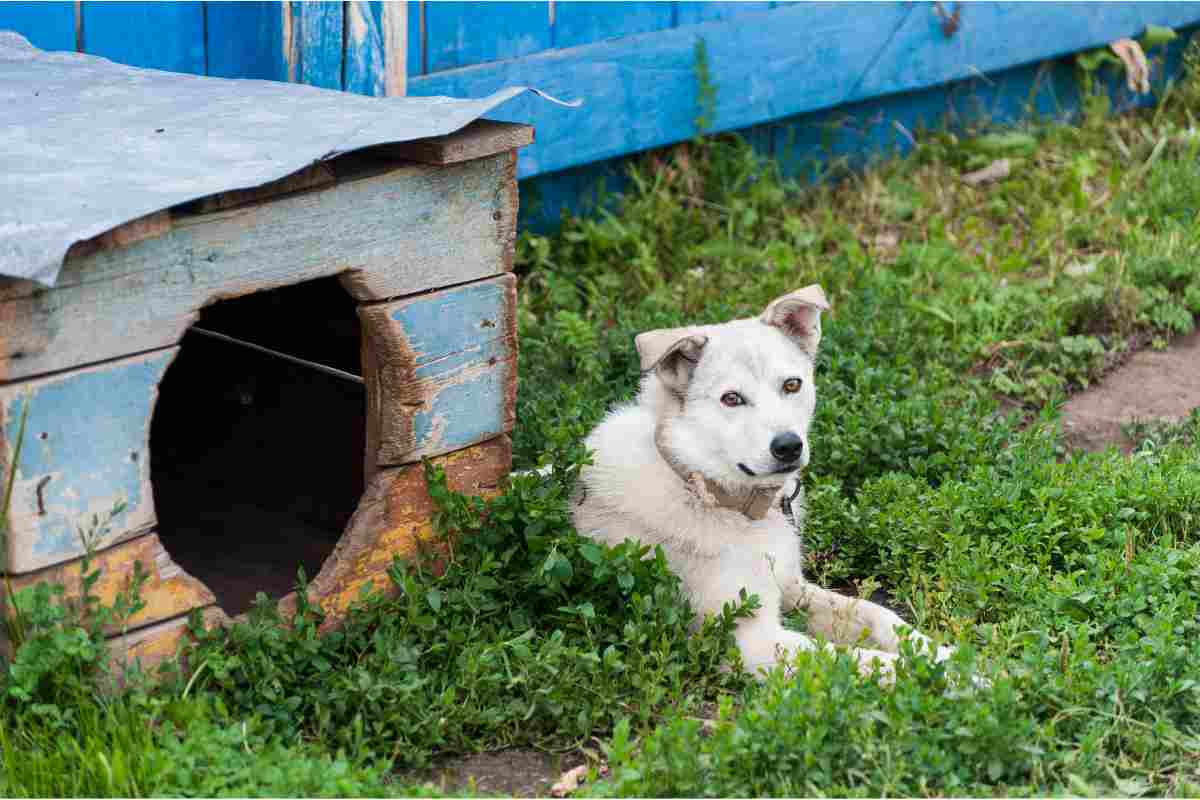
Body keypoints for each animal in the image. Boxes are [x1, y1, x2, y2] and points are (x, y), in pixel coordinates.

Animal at [571, 284, 955, 681]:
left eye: (792, 384)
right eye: (731, 398)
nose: (788, 446)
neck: (704, 486)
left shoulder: (792, 588)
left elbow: (882, 616)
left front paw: (943, 652)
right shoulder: (750, 639)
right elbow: (868, 660)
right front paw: (961, 676)